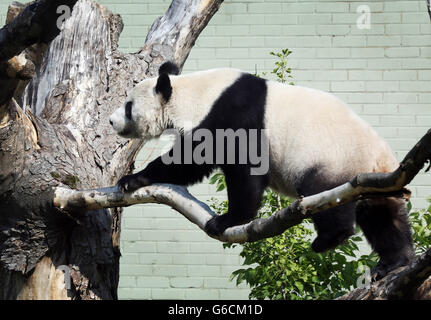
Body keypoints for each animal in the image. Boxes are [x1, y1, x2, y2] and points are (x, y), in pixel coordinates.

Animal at [109, 61, 416, 278]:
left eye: (128, 106)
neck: (196, 93)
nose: (111, 121)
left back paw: (330, 238)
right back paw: (393, 262)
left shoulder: (233, 115)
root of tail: (381, 160)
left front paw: (227, 219)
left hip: (334, 158)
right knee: (383, 218)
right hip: (372, 179)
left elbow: (218, 164)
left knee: (325, 194)